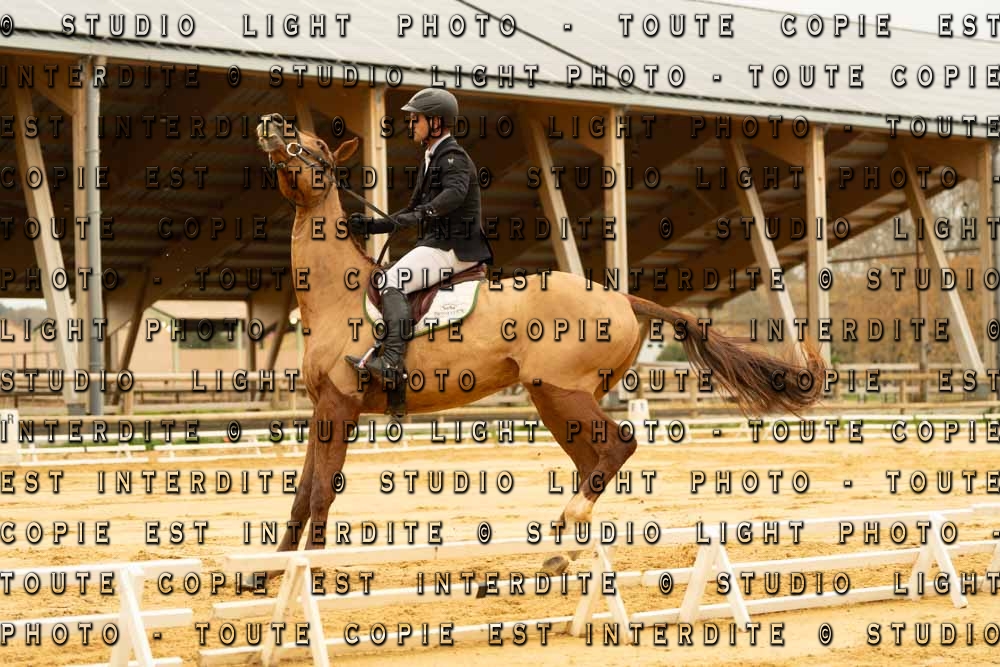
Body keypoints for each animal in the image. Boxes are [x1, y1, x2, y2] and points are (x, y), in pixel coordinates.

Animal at [253, 112, 826, 580]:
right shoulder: (322, 407)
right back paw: (565, 549)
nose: (273, 123)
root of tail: (622, 296)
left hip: (558, 390)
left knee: (619, 445)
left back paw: (568, 526)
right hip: (558, 399)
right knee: (594, 458)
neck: (337, 293)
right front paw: (270, 574)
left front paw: (312, 575)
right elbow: (302, 493)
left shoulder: (341, 405)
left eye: (317, 150)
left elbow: (322, 490)